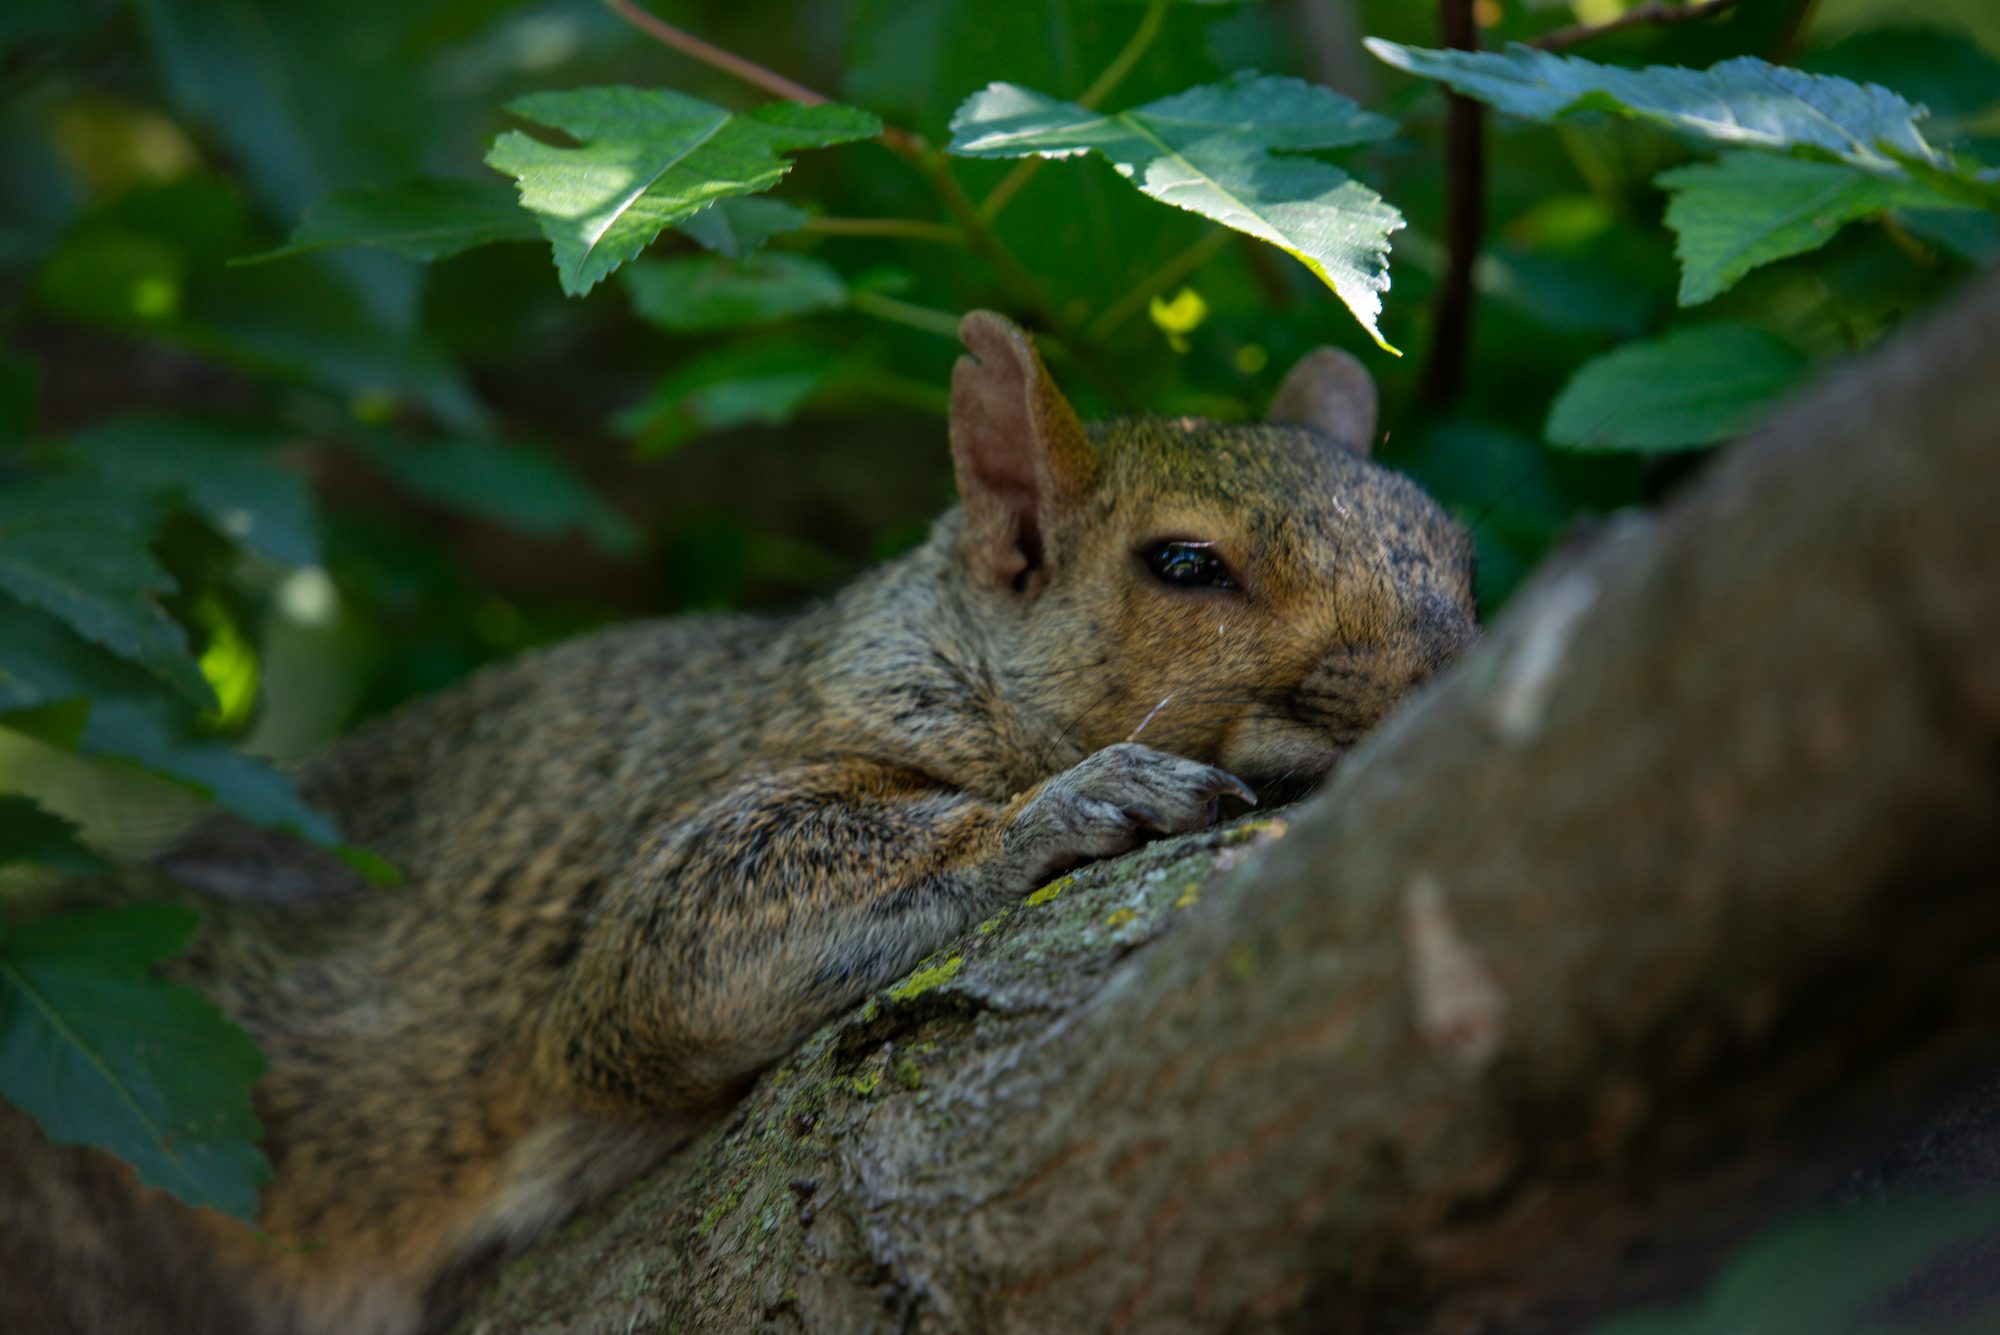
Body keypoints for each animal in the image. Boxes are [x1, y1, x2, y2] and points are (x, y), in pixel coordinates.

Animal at [0, 311, 1476, 1335]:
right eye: (1182, 563)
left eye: (1456, 551)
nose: (1441, 671)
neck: (953, 664)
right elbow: (658, 961)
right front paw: (1077, 800)